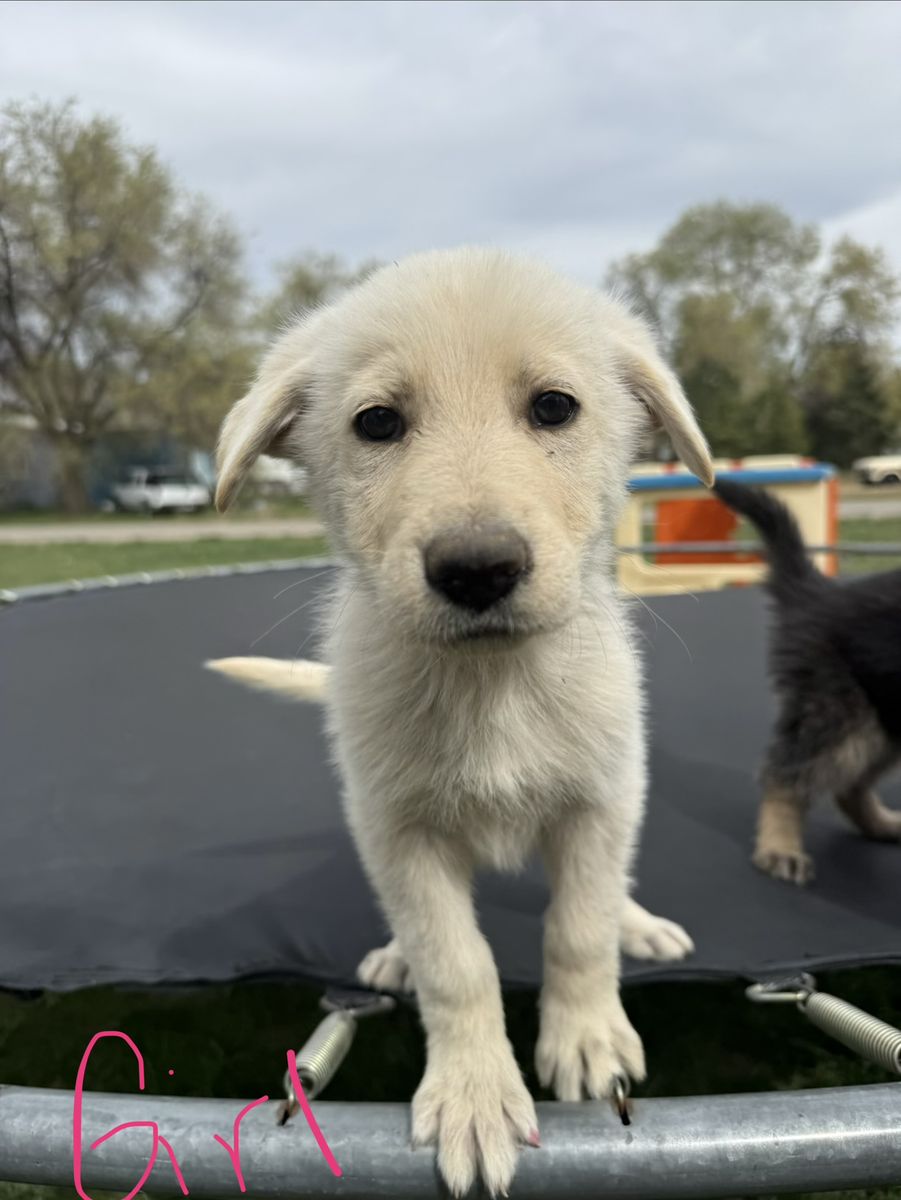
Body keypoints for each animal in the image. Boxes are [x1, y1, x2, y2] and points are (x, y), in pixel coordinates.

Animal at [208, 248, 713, 1196]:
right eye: (376, 422)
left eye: (553, 406)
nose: (476, 569)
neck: (493, 686)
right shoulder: (399, 831)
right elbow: (457, 963)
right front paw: (474, 1095)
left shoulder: (599, 800)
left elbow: (579, 929)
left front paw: (586, 1035)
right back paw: (395, 957)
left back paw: (639, 924)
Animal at [713, 478, 901, 885]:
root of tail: (819, 593)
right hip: (840, 715)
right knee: (786, 776)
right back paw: (780, 847)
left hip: (884, 718)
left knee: (848, 786)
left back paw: (883, 825)